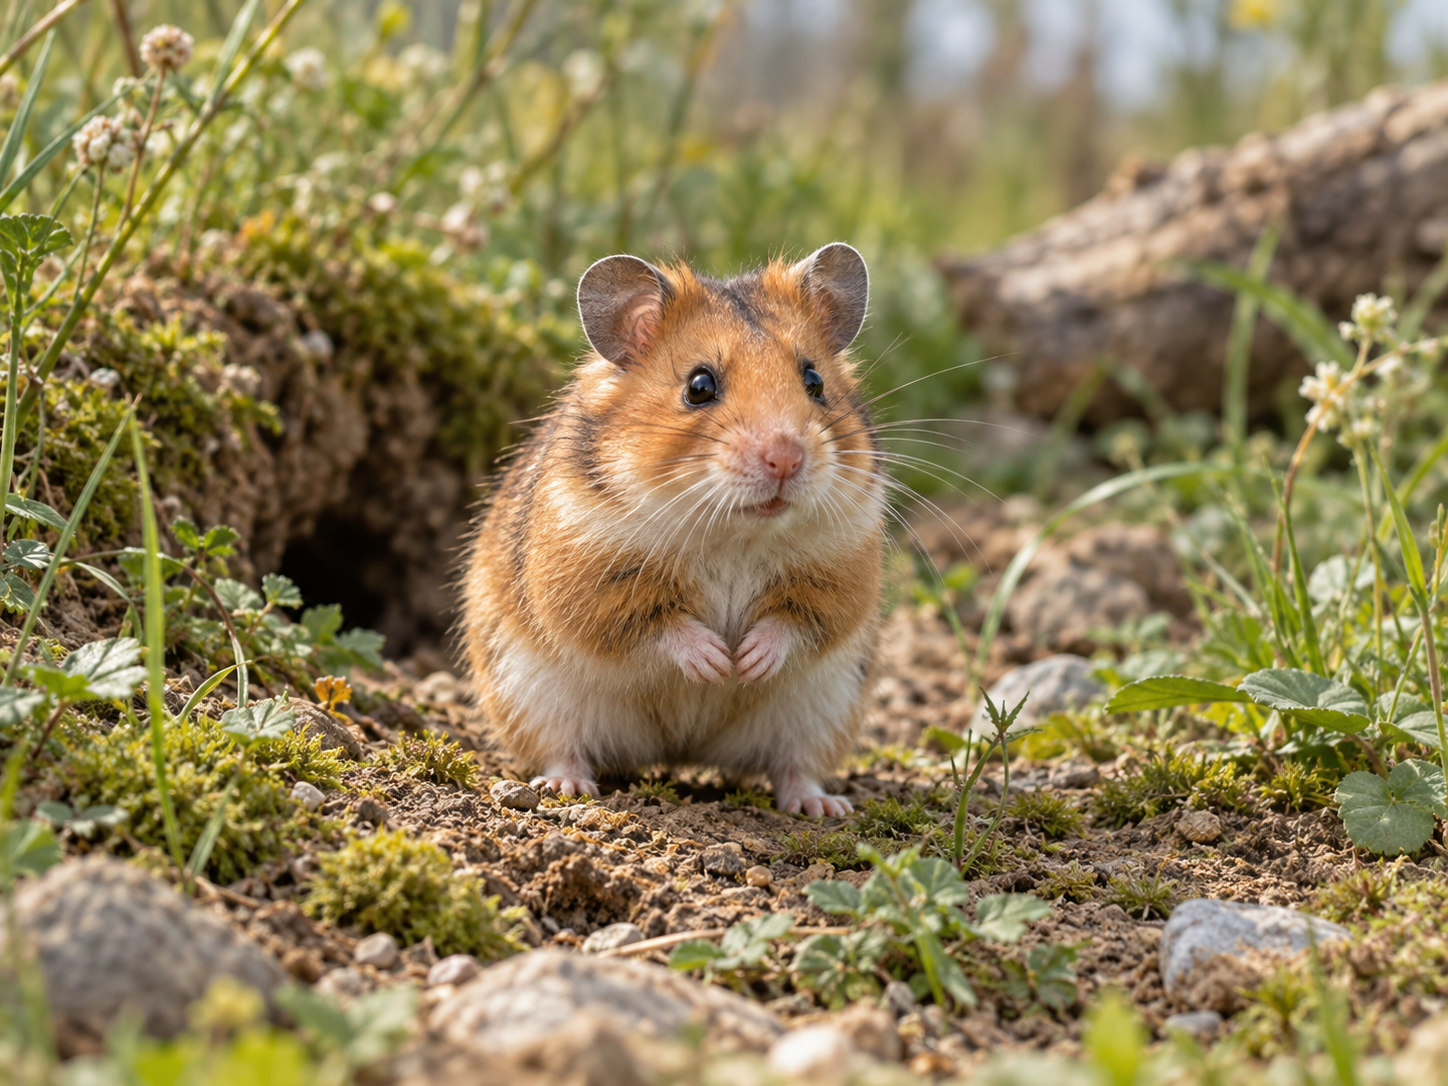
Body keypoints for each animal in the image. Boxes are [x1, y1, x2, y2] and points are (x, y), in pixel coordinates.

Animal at [460, 243, 885, 816]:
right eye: (699, 386)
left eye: (815, 383)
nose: (786, 459)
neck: (733, 533)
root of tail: (683, 752)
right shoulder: (594, 581)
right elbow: (660, 625)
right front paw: (717, 663)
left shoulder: (840, 579)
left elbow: (793, 620)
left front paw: (746, 664)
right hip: (529, 694)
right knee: (563, 748)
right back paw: (565, 787)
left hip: (826, 708)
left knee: (793, 767)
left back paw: (822, 807)